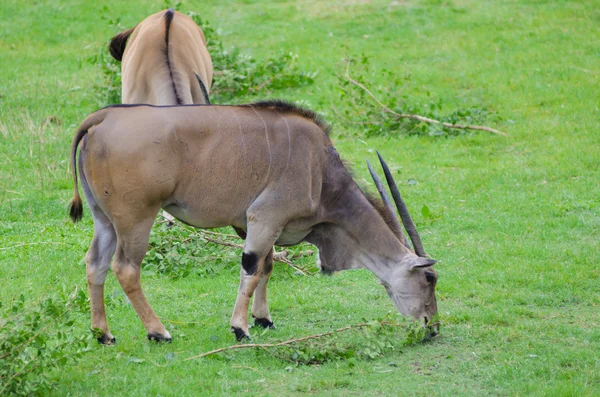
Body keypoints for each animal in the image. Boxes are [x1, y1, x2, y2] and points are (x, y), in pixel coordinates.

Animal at [69, 100, 436, 342]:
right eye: (430, 278)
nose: (432, 326)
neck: (320, 170)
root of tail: (103, 117)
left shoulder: (257, 225)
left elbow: (266, 268)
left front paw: (263, 319)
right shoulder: (265, 218)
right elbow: (251, 269)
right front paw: (240, 328)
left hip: (105, 220)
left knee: (95, 263)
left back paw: (102, 334)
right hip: (137, 220)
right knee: (125, 269)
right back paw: (158, 332)